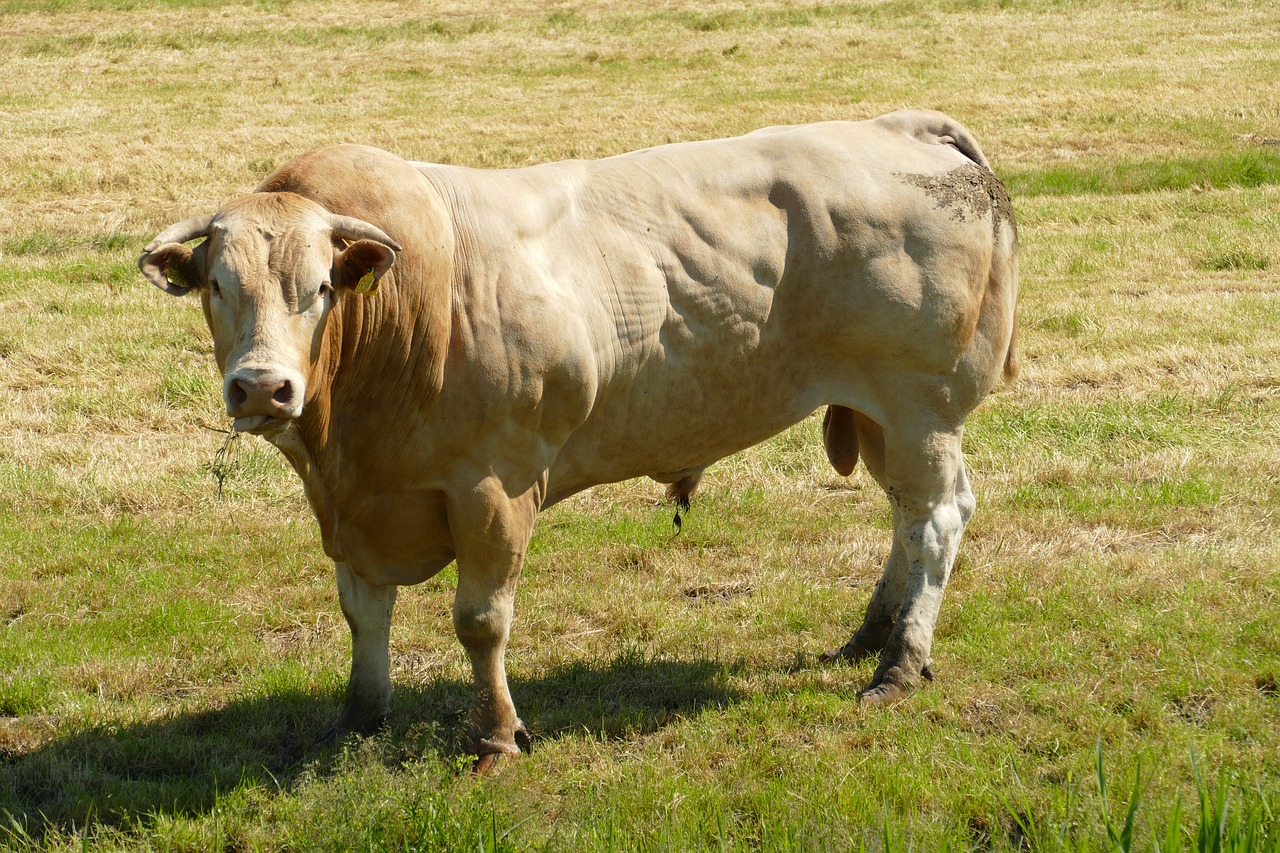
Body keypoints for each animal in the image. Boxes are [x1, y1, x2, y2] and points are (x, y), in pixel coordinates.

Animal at [139, 109, 1018, 771]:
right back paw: (872, 631)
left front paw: (497, 734)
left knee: (936, 521)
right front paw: (358, 715)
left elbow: (480, 620)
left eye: (320, 287)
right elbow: (363, 611)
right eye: (217, 285)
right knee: (904, 515)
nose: (262, 387)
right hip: (876, 415)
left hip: (921, 406)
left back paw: (899, 662)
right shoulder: (355, 503)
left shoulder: (493, 486)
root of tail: (903, 125)